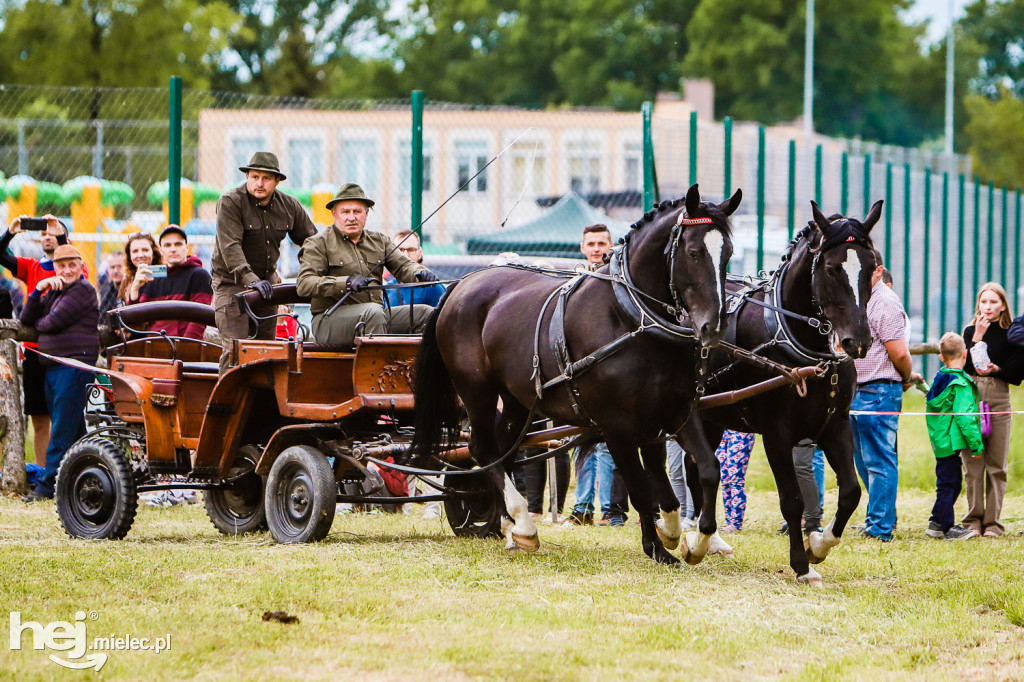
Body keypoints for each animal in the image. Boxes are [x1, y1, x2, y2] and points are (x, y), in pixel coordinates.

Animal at [411, 183, 741, 561]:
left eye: (728, 253)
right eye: (693, 252)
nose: (714, 326)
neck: (633, 317)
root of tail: (462, 283)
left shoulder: (673, 413)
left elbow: (704, 471)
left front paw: (688, 539)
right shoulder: (617, 426)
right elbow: (642, 487)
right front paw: (658, 548)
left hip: (516, 400)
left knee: (504, 450)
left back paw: (512, 527)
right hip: (476, 390)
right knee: (482, 449)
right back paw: (524, 523)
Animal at [675, 197, 884, 585]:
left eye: (872, 265)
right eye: (831, 268)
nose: (858, 342)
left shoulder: (836, 425)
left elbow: (850, 491)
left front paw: (819, 544)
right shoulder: (777, 434)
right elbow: (792, 500)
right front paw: (802, 565)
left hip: (711, 418)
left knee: (697, 467)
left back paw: (707, 540)